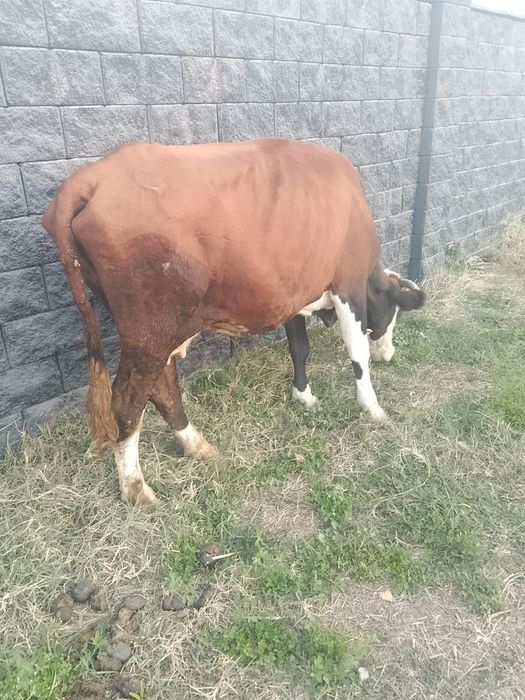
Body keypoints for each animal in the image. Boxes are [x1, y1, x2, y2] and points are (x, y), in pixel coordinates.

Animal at [42, 138, 425, 508]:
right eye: (392, 313)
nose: (389, 354)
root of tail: (91, 178)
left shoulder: (292, 295)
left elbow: (299, 349)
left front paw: (304, 396)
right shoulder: (348, 286)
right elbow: (357, 355)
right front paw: (372, 408)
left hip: (157, 333)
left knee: (162, 388)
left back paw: (195, 445)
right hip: (149, 332)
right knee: (125, 404)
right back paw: (136, 488)